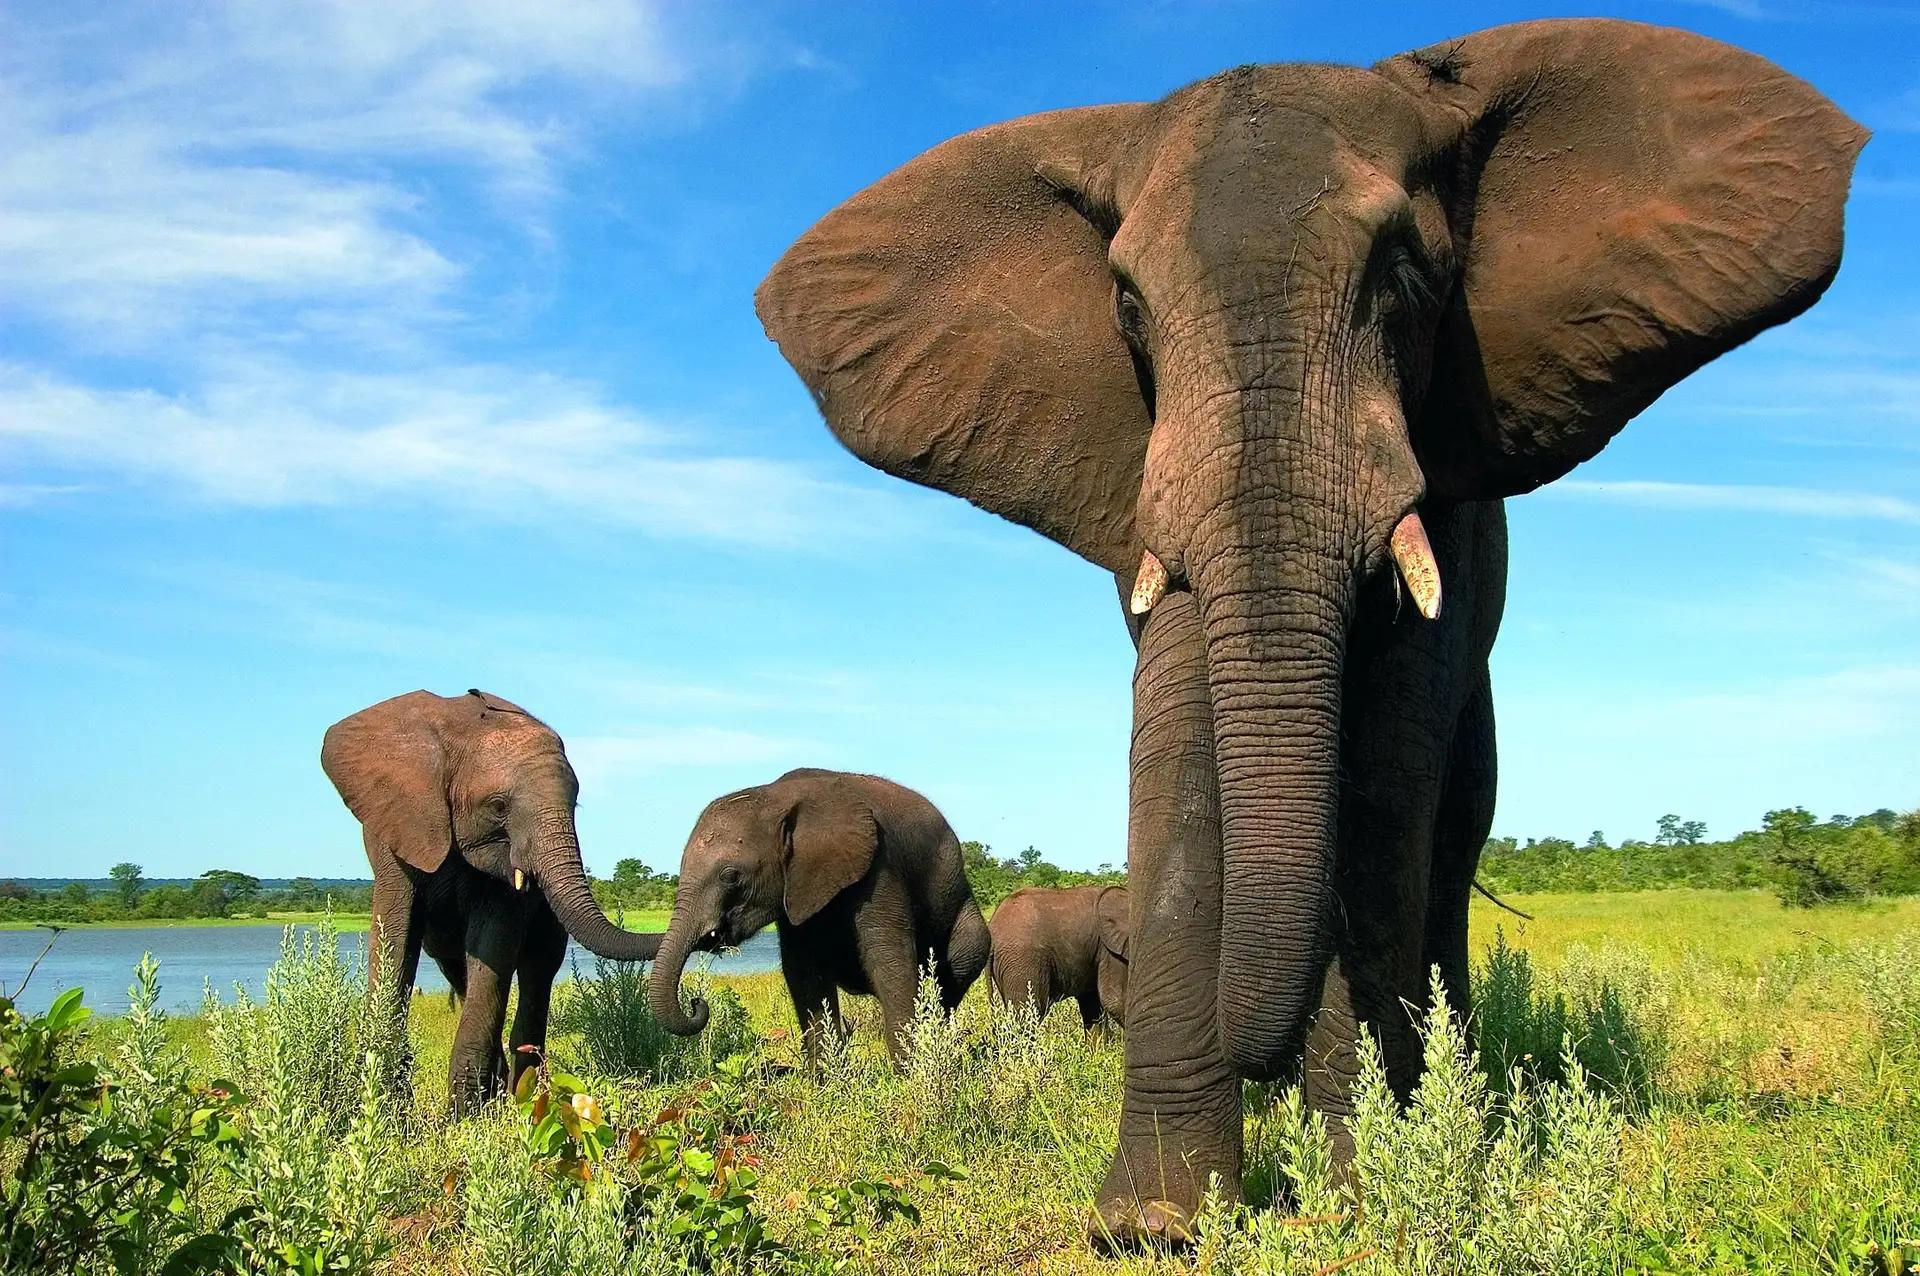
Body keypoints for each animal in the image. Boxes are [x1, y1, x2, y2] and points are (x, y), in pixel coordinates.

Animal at [321, 689, 666, 1111]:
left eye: (575, 807)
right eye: (499, 805)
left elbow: (494, 943)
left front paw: (464, 1115)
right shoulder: (396, 826)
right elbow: (395, 938)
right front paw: (383, 1106)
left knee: (537, 969)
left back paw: (522, 1097)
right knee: (458, 969)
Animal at [647, 768, 990, 1063]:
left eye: (730, 876)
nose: (697, 1002)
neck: (776, 797)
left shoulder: (880, 865)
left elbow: (888, 960)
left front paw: (910, 1076)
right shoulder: (799, 885)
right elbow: (804, 970)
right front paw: (826, 1083)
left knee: (957, 969)